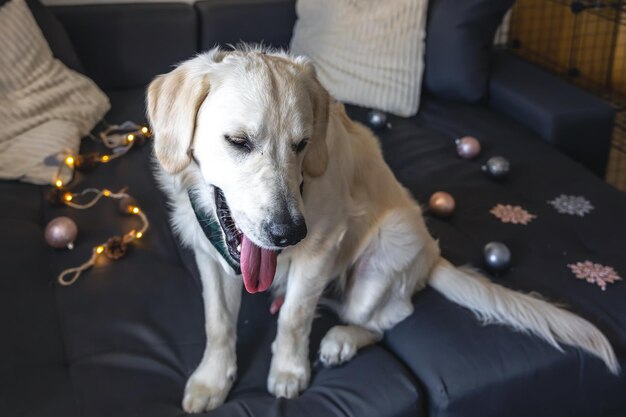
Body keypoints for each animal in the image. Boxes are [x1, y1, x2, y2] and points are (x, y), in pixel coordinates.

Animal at [145, 46, 616, 412]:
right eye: (239, 142)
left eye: (302, 145)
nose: (288, 234)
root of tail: (434, 257)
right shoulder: (209, 256)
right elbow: (218, 323)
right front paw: (211, 380)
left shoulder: (321, 247)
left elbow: (296, 318)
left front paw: (289, 371)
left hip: (385, 254)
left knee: (384, 319)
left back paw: (340, 340)